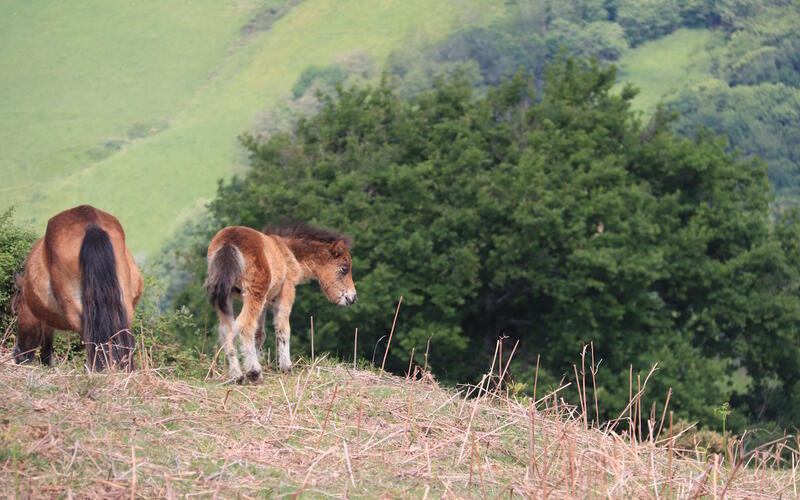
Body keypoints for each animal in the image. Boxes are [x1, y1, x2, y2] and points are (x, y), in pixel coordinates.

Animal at [205, 222, 356, 383]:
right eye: (344, 269)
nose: (352, 298)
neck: (289, 253)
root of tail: (229, 242)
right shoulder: (286, 290)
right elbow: (283, 329)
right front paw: (286, 368)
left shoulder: (265, 303)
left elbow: (259, 335)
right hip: (254, 292)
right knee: (245, 325)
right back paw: (254, 372)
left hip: (225, 297)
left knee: (226, 330)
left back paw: (237, 376)